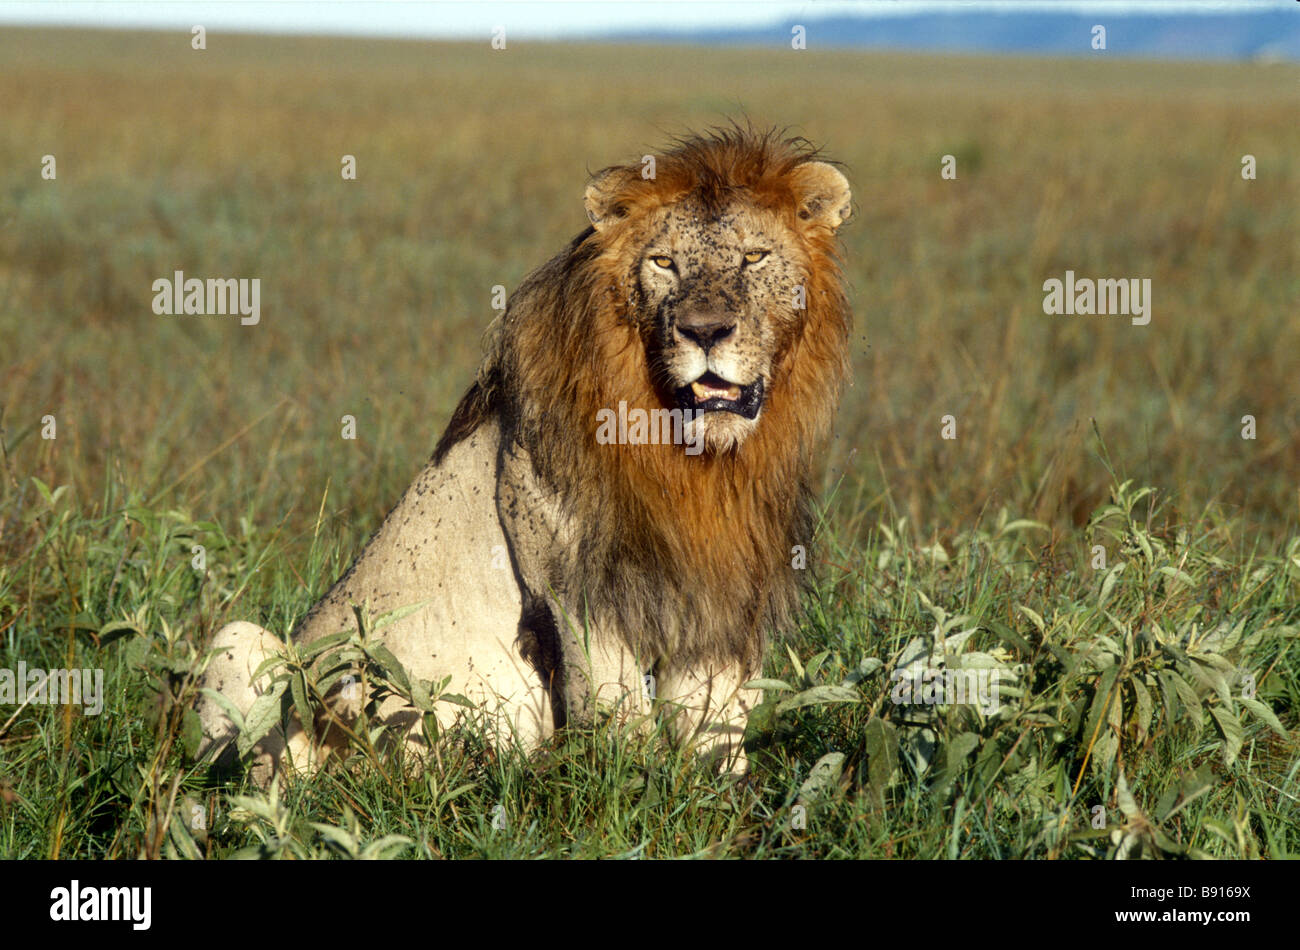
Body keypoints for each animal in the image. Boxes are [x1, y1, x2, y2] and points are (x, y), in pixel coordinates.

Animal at [189, 124, 842, 790]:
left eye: (754, 258)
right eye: (663, 263)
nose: (704, 331)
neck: (695, 463)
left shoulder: (722, 592)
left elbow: (713, 725)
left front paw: (721, 794)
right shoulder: (574, 589)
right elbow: (619, 717)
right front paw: (631, 789)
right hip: (243, 645)